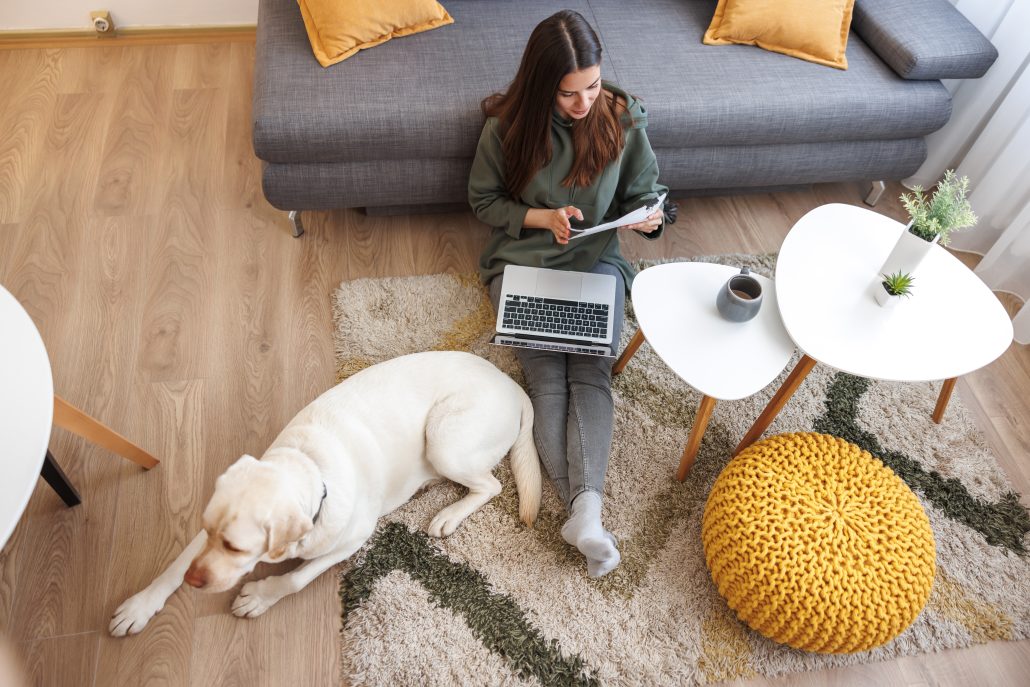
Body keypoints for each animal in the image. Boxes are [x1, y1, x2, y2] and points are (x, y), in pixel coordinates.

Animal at [109, 352, 543, 638]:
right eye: (213, 533)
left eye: (236, 548)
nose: (196, 582)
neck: (310, 468)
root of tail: (512, 384)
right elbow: (177, 562)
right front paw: (141, 604)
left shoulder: (350, 541)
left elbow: (295, 579)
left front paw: (260, 595)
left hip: (444, 441)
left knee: (491, 485)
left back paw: (449, 514)